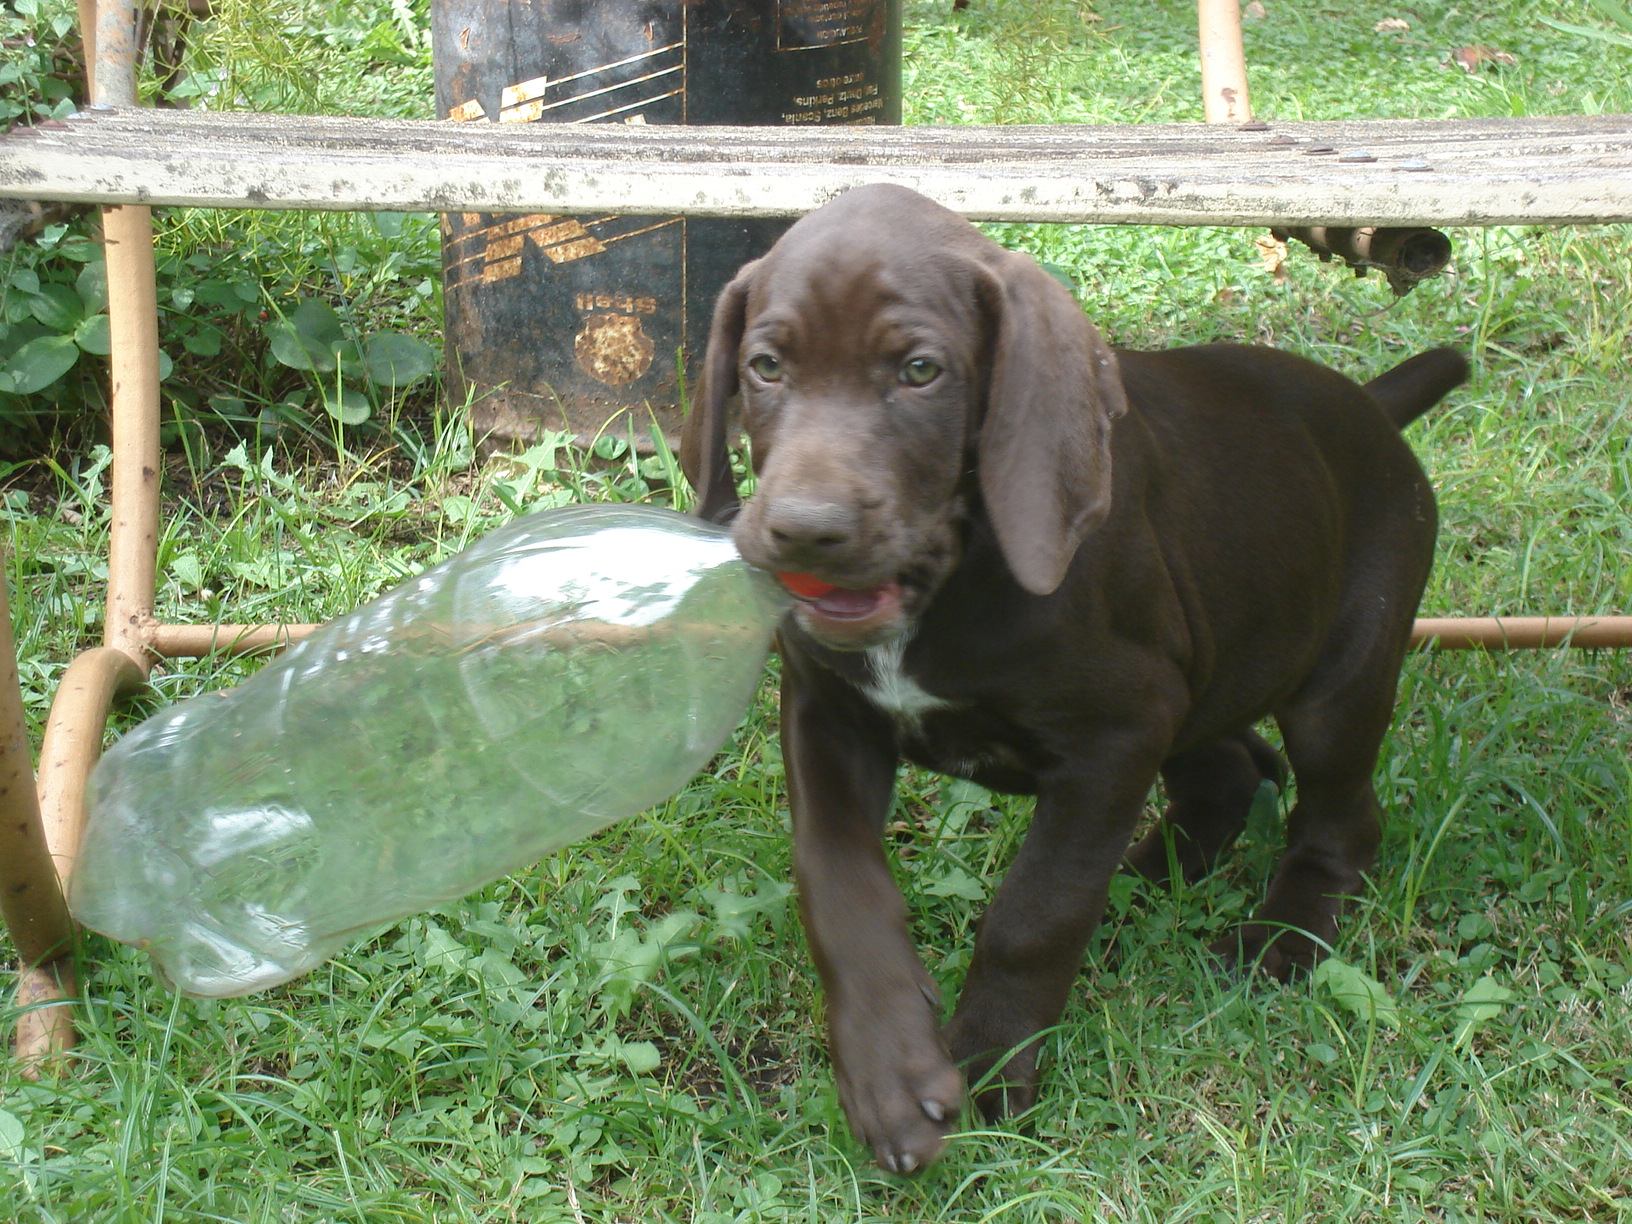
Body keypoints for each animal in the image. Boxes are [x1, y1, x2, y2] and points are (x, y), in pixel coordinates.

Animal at [675, 184, 1468, 1181]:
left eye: (922, 372)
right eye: (766, 366)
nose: (805, 531)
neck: (949, 577)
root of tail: (1364, 405)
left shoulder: (1113, 735)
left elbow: (1036, 912)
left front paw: (989, 1063)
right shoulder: (828, 712)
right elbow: (838, 882)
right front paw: (888, 1071)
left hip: (1338, 675)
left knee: (1339, 817)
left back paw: (1280, 934)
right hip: (1205, 666)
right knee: (1233, 771)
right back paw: (1142, 885)